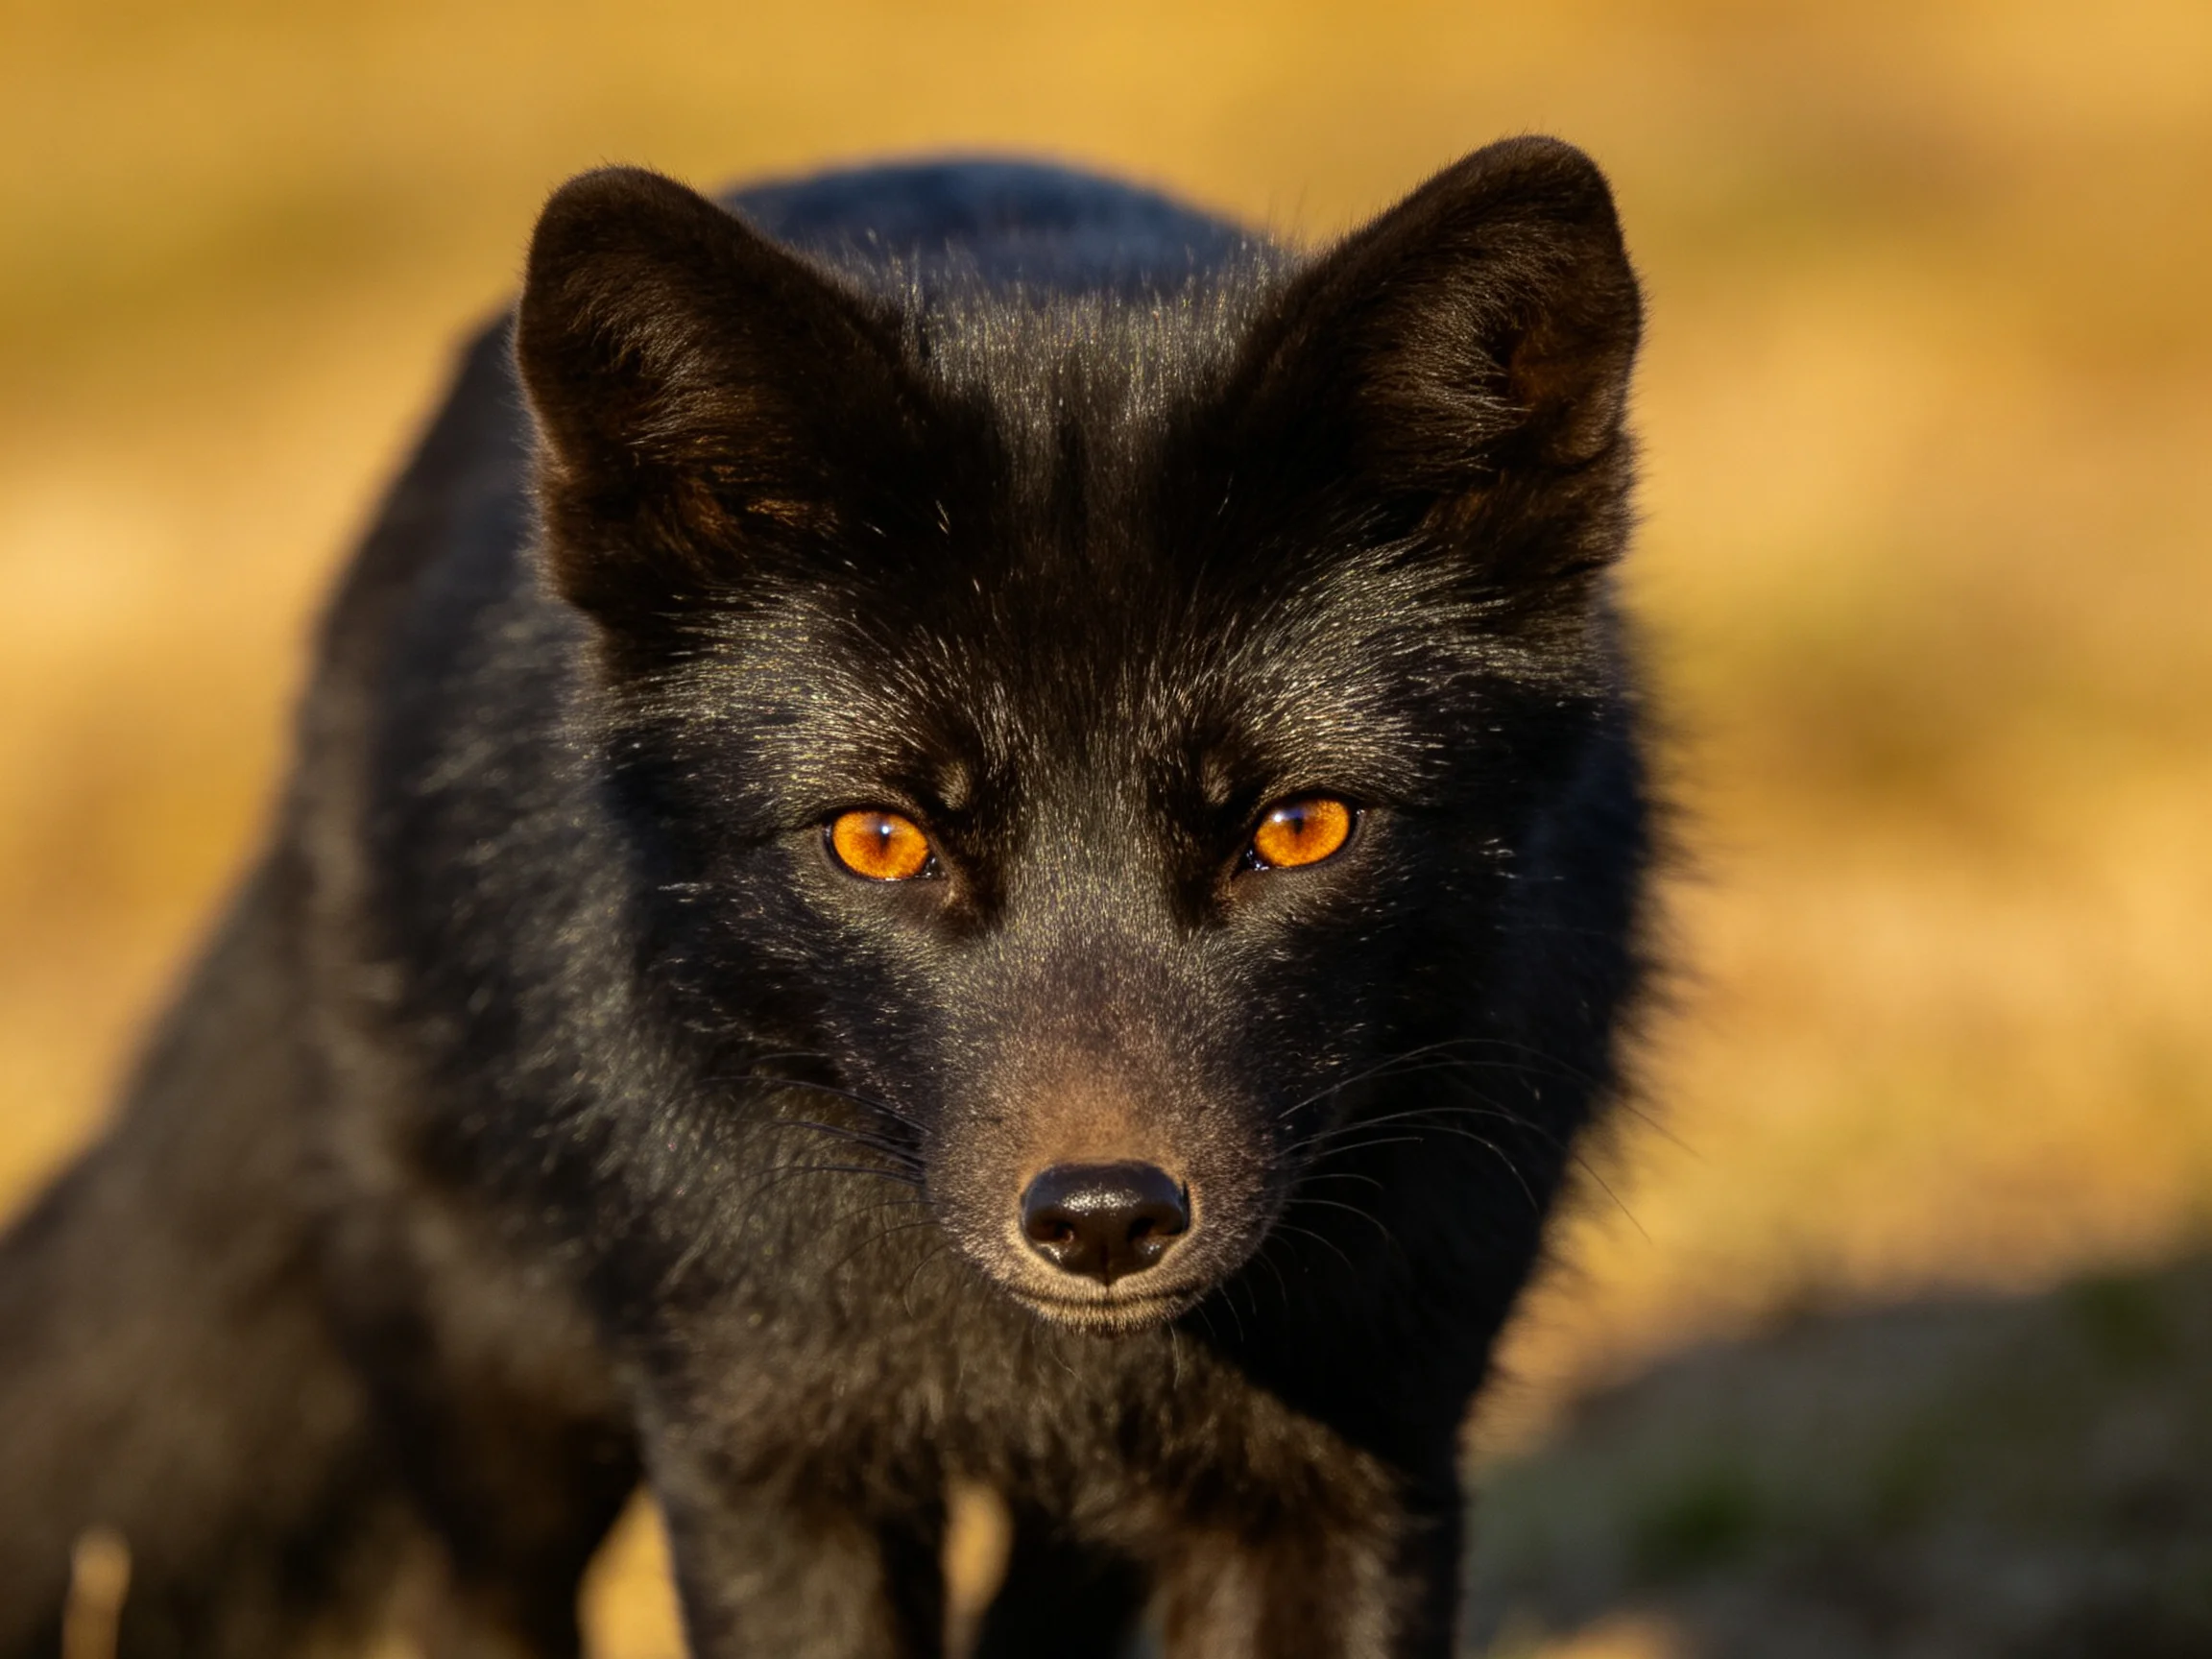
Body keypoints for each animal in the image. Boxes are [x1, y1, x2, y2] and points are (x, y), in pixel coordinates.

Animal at [0, 139, 1651, 1657]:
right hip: (493, 1377)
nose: (1104, 1222)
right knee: (462, 1597)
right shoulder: (770, 1458)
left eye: (1299, 828)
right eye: (880, 841)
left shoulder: (1357, 1465)